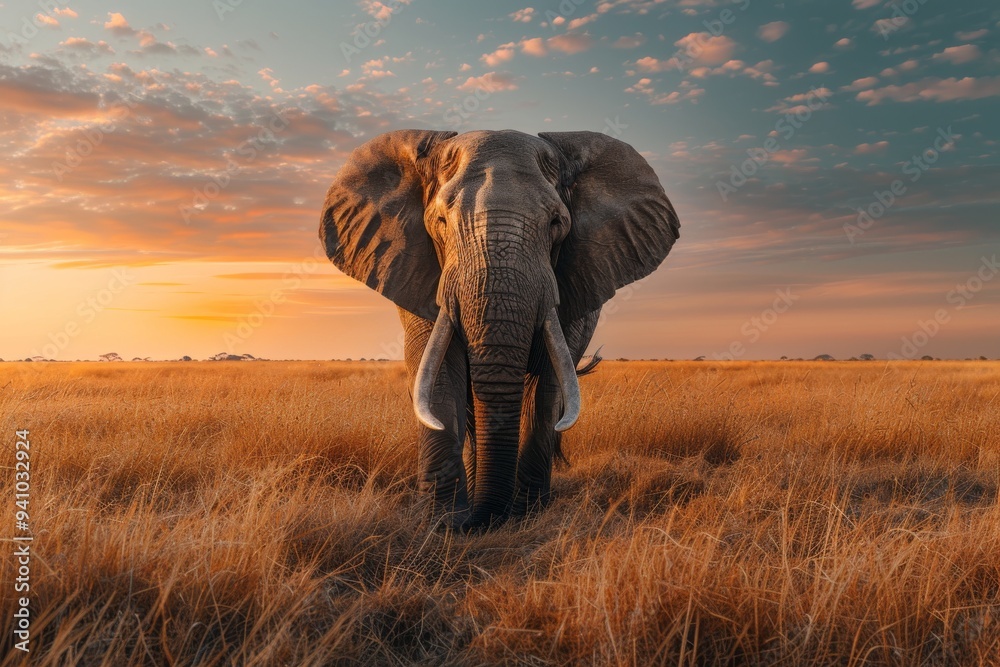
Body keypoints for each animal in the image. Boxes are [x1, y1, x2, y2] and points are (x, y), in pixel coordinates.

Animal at [319, 129, 680, 529]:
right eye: (441, 222)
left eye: (556, 223)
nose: (480, 520)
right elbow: (439, 374)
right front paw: (445, 523)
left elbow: (550, 386)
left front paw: (525, 514)